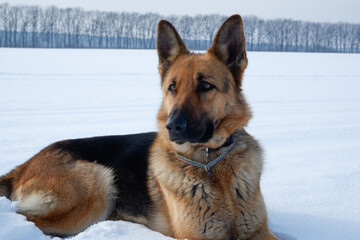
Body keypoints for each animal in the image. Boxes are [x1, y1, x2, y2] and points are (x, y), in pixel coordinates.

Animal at [0, 15, 278, 240]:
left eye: (205, 86)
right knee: (29, 220)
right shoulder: (197, 235)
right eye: (172, 87)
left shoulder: (258, 231)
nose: (172, 127)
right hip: (99, 183)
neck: (211, 162)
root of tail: (24, 166)